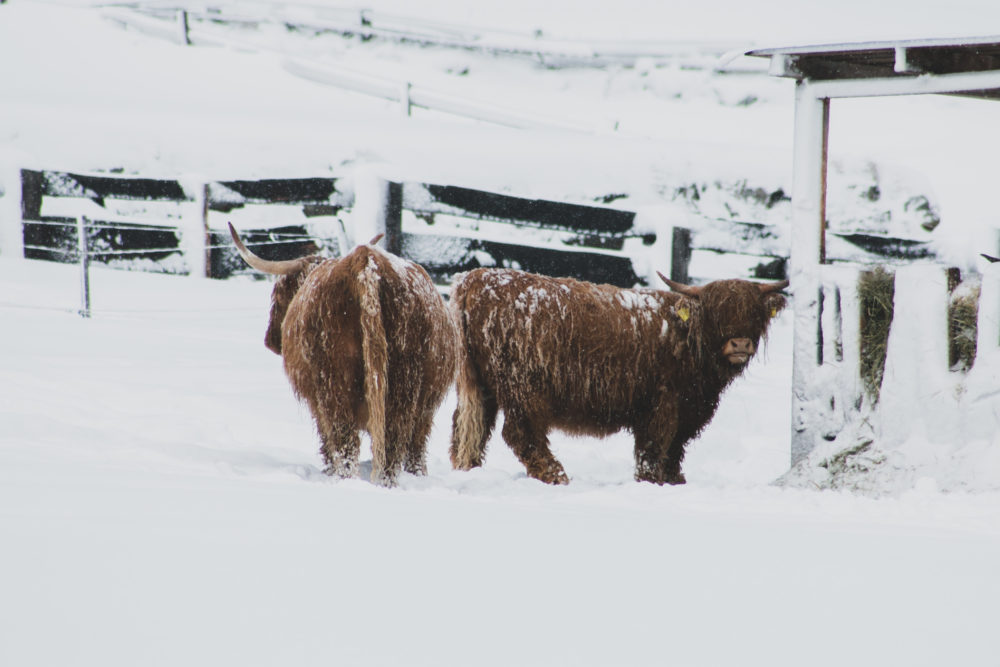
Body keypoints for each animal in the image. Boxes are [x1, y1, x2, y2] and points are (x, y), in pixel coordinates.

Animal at [229, 223, 457, 487]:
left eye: (278, 295)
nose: (270, 340)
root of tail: (365, 262)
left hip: (334, 383)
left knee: (345, 443)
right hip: (403, 387)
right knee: (392, 444)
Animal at [449, 268, 788, 485]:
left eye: (754, 312)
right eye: (717, 313)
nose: (740, 344)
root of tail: (476, 278)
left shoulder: (688, 411)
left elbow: (675, 450)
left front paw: (676, 481)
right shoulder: (662, 404)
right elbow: (654, 447)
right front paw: (650, 482)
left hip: (482, 385)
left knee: (468, 429)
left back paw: (468, 470)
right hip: (521, 386)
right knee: (520, 433)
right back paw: (557, 476)